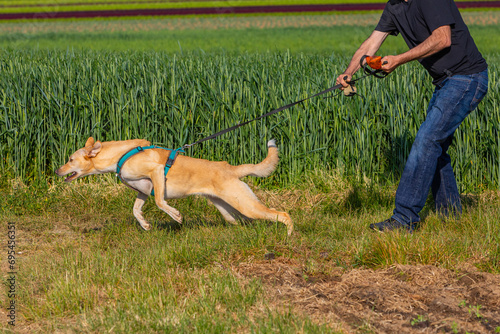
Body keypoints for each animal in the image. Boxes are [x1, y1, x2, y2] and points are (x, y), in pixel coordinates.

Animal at [55, 137, 292, 236]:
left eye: (70, 159)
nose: (57, 171)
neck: (120, 155)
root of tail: (231, 168)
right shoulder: (143, 191)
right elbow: (135, 210)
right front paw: (145, 225)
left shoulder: (157, 173)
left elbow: (161, 201)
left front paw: (176, 215)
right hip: (230, 209)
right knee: (246, 221)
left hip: (245, 204)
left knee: (282, 214)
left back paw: (289, 235)